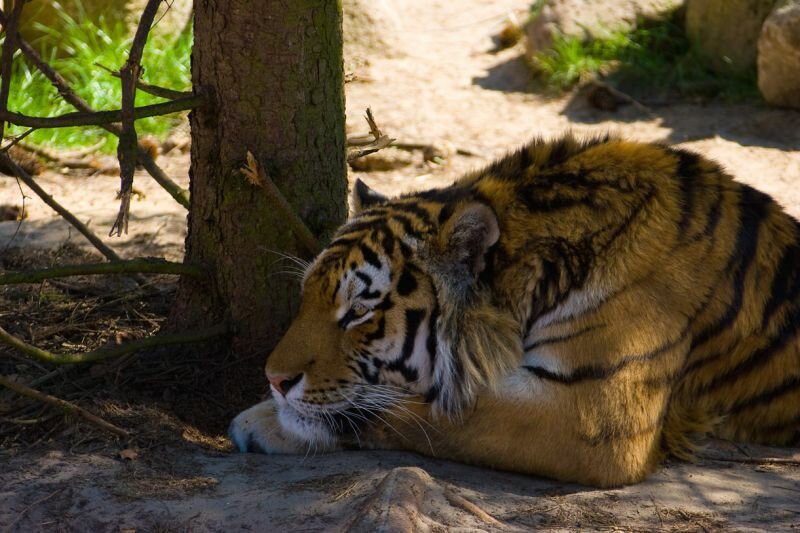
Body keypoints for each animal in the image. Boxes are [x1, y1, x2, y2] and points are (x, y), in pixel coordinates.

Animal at [228, 134, 796, 486]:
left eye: (359, 312)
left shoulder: (593, 415)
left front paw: (268, 422)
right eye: (308, 296)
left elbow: (436, 413)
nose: (274, 379)